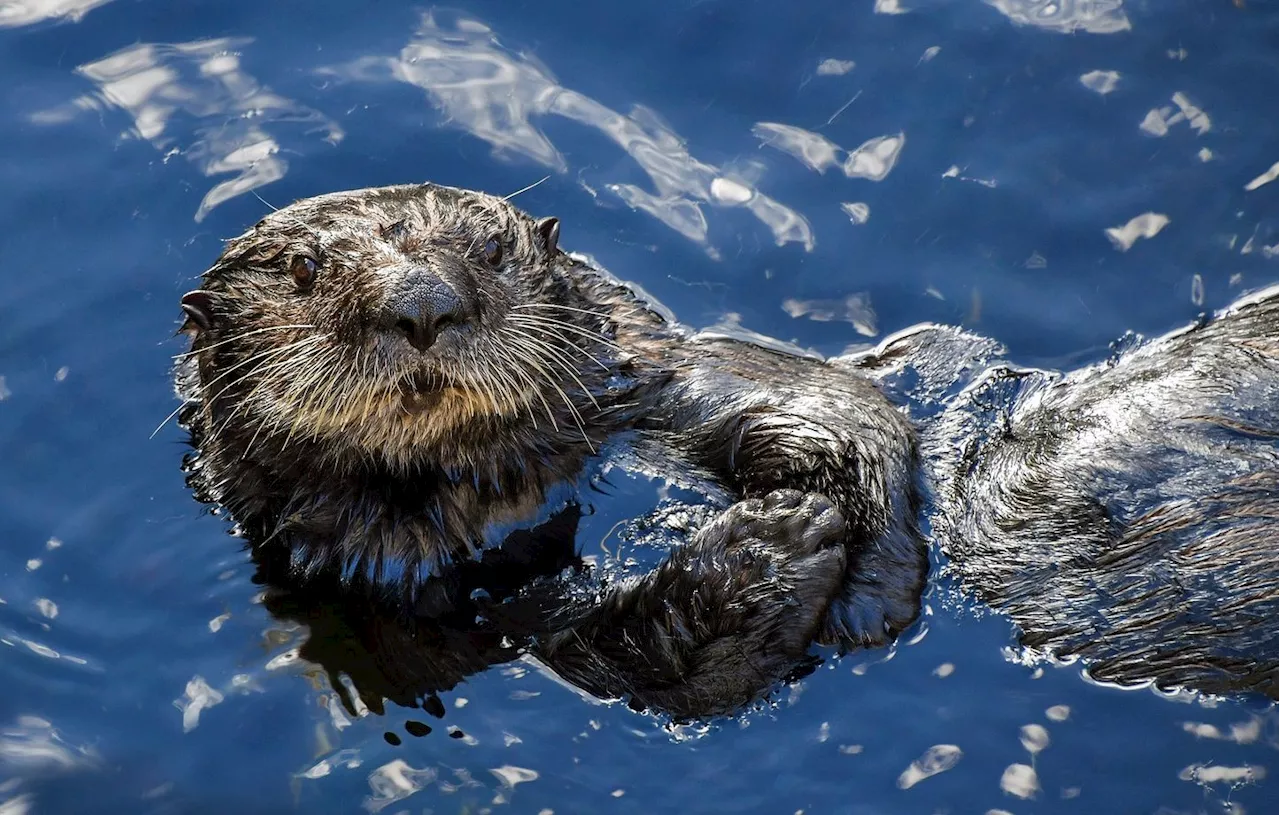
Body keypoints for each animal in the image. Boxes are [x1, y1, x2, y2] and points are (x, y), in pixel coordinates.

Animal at [175, 181, 926, 716]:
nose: (422, 302)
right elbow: (591, 658)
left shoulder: (639, 372)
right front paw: (765, 550)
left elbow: (831, 402)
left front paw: (863, 576)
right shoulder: (372, 587)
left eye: (491, 251)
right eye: (302, 268)